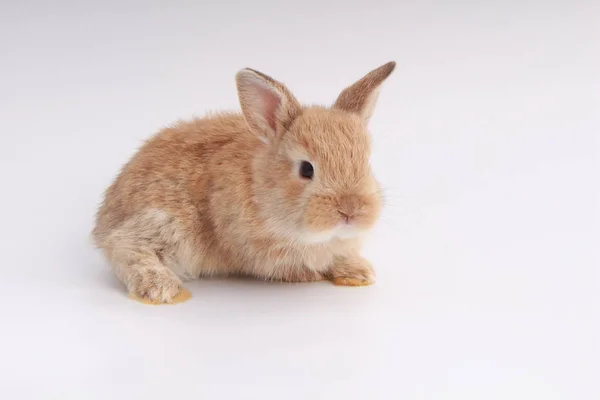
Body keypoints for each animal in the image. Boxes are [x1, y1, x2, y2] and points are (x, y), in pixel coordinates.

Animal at [92, 61, 394, 304]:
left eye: (366, 163)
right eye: (306, 169)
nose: (350, 211)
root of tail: (104, 218)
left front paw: (360, 272)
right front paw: (313, 275)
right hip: (164, 222)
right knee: (124, 247)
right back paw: (163, 288)